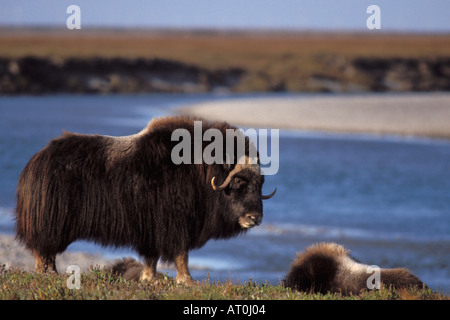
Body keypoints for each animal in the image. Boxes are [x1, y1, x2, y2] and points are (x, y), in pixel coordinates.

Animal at [14, 116, 274, 284]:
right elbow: (181, 254)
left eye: (260, 182)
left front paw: (149, 279)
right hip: (51, 223)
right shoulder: (174, 224)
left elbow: (152, 256)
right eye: (238, 180)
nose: (255, 218)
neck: (200, 170)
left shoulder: (152, 228)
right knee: (42, 249)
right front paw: (188, 281)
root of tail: (35, 161)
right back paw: (46, 275)